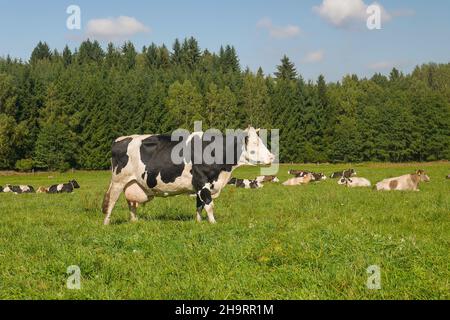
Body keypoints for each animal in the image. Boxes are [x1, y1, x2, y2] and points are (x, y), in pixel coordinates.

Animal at [102, 127, 276, 225]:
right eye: (255, 144)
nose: (272, 157)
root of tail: (119, 139)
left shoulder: (200, 186)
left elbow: (199, 206)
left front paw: (198, 222)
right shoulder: (202, 182)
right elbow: (209, 205)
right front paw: (214, 223)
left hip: (132, 183)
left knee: (131, 203)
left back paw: (134, 221)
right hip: (118, 181)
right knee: (111, 202)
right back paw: (106, 223)